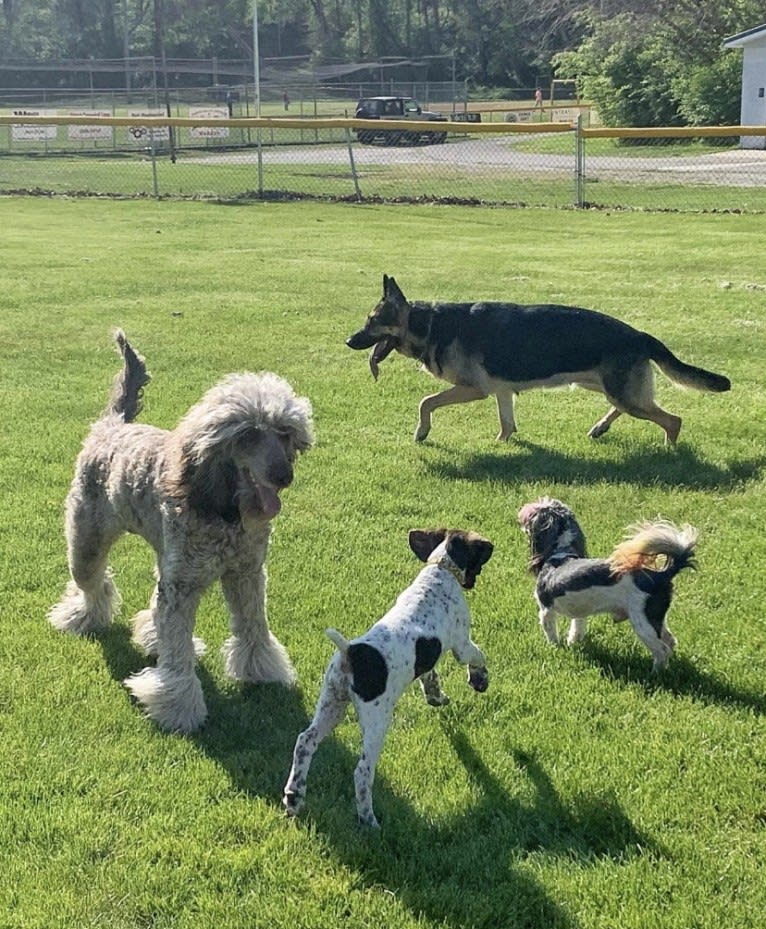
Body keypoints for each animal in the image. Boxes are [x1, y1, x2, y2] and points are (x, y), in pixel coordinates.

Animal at [49, 334, 314, 732]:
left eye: (284, 432)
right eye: (249, 433)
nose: (284, 475)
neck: (224, 511)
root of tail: (111, 425)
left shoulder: (246, 574)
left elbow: (253, 627)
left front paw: (261, 670)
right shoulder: (184, 586)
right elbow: (178, 651)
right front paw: (175, 704)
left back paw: (149, 634)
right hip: (86, 544)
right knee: (94, 586)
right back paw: (82, 617)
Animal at [284, 528, 496, 828]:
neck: (440, 568)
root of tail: (351, 652)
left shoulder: (430, 661)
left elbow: (430, 676)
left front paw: (436, 696)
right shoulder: (461, 644)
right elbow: (478, 656)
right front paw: (480, 680)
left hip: (331, 703)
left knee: (305, 742)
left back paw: (294, 795)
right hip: (376, 719)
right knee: (362, 771)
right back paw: (368, 820)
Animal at [348, 274, 732, 444]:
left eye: (371, 322)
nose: (348, 341)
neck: (429, 324)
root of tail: (639, 334)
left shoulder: (474, 390)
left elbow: (426, 401)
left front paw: (422, 432)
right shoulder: (501, 392)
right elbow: (507, 425)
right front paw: (503, 446)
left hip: (620, 391)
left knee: (672, 420)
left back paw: (670, 449)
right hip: (601, 385)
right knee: (627, 407)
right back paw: (600, 428)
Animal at [520, 496, 700, 672]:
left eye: (535, 510)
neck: (561, 552)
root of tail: (661, 575)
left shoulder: (546, 609)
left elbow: (550, 632)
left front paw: (555, 648)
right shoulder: (580, 612)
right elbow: (577, 628)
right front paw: (572, 643)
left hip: (642, 621)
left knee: (662, 649)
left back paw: (656, 673)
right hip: (655, 617)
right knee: (670, 640)